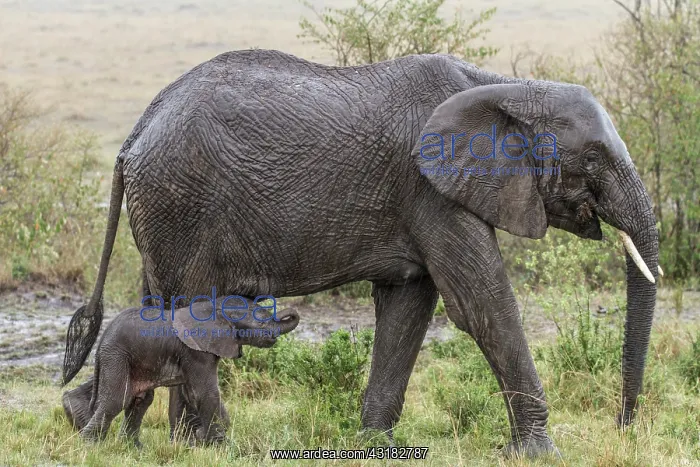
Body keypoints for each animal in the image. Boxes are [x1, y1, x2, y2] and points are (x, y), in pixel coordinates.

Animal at [69, 297, 299, 447]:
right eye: (260, 321)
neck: (215, 307)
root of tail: (101, 341)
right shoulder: (195, 351)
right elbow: (205, 393)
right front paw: (219, 445)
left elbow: (192, 393)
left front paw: (205, 439)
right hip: (116, 356)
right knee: (117, 400)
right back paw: (90, 446)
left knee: (141, 400)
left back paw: (132, 448)